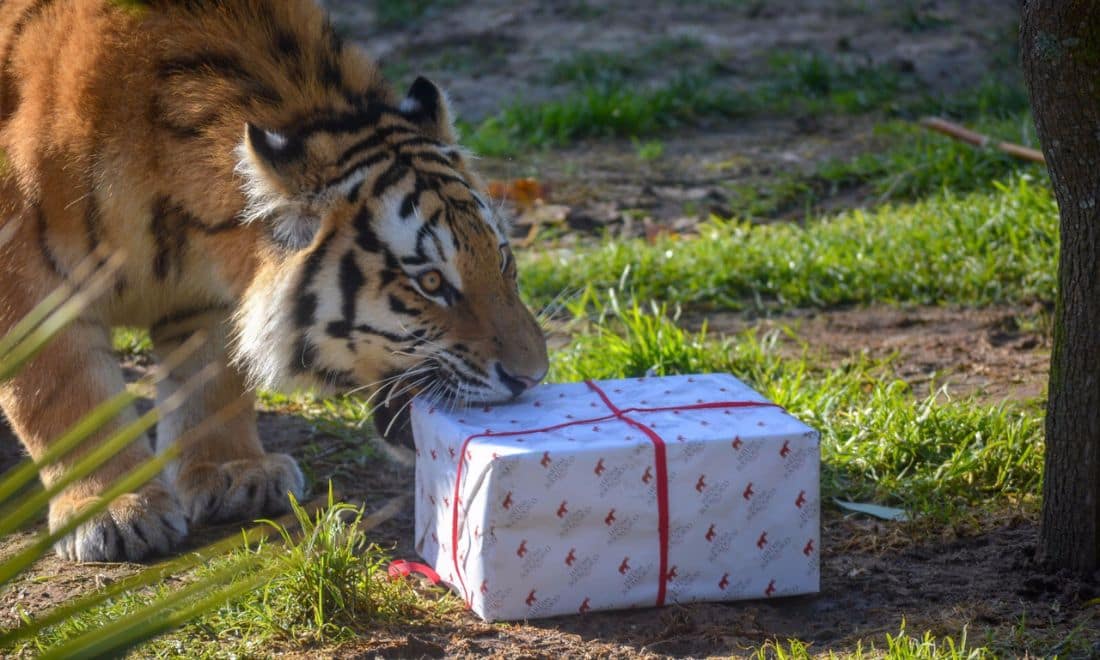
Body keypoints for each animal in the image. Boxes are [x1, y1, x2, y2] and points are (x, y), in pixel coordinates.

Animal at [0, 0, 550, 561]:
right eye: (432, 281)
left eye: (503, 260)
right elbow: (65, 392)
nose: (533, 376)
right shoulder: (24, 270)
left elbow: (212, 377)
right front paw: (115, 509)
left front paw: (232, 473)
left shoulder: (207, 294)